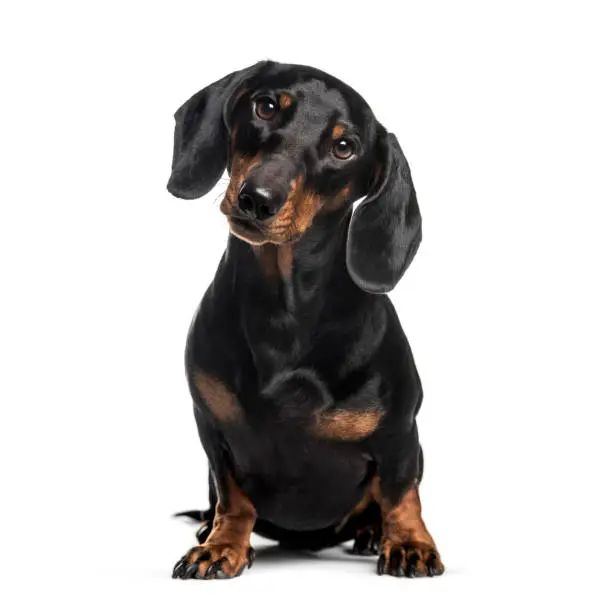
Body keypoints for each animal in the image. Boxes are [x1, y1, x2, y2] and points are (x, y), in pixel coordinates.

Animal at [166, 61, 442, 580]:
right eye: (266, 106)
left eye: (344, 146)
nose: (257, 199)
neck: (283, 312)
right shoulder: (212, 429)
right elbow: (233, 499)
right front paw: (222, 545)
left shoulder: (400, 432)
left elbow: (400, 493)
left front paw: (409, 543)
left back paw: (372, 534)